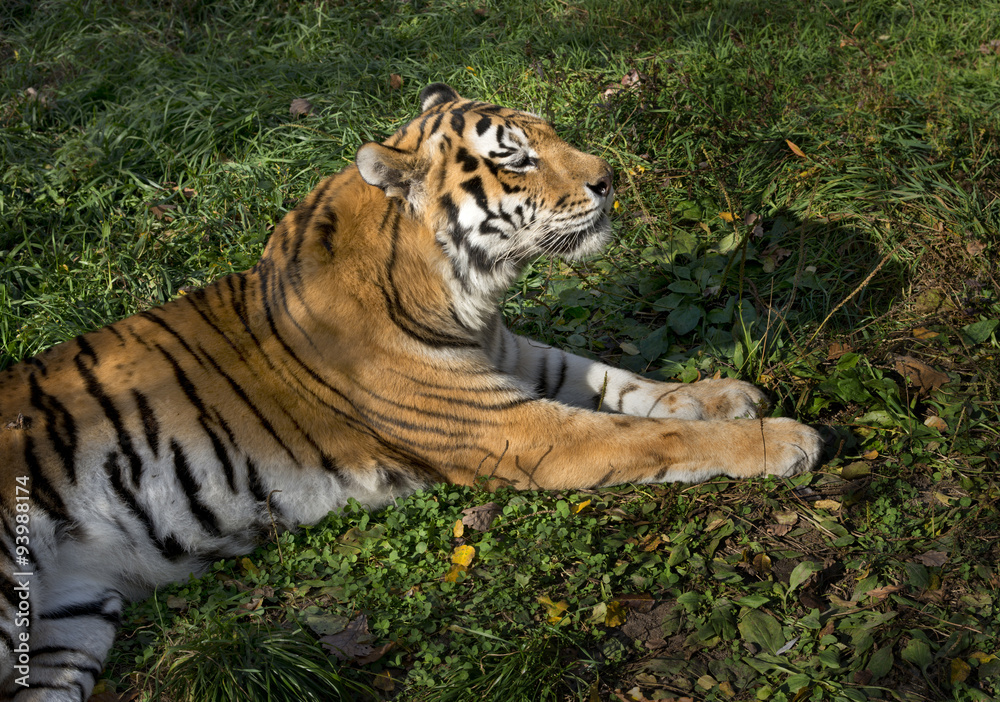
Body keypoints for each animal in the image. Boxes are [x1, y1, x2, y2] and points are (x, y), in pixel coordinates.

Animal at [0, 82, 823, 701]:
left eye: (552, 135)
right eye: (516, 158)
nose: (610, 179)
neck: (469, 295)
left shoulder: (517, 362)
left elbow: (627, 385)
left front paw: (725, 391)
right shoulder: (512, 429)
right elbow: (649, 437)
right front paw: (782, 438)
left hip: (67, 632)